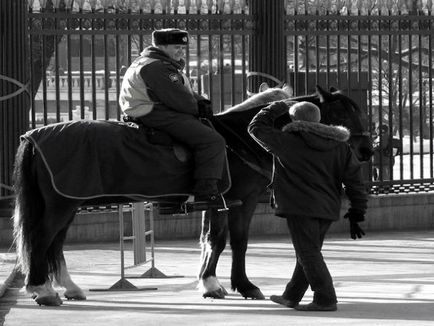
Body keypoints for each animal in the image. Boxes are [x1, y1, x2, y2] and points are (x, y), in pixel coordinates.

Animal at [13, 84, 372, 306]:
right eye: (342, 114)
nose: (367, 150)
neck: (237, 139)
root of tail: (34, 135)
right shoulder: (234, 201)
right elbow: (226, 240)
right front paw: (227, 284)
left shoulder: (225, 204)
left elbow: (223, 241)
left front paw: (222, 283)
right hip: (61, 205)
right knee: (42, 239)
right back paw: (42, 290)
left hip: (67, 205)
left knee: (53, 243)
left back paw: (67, 287)